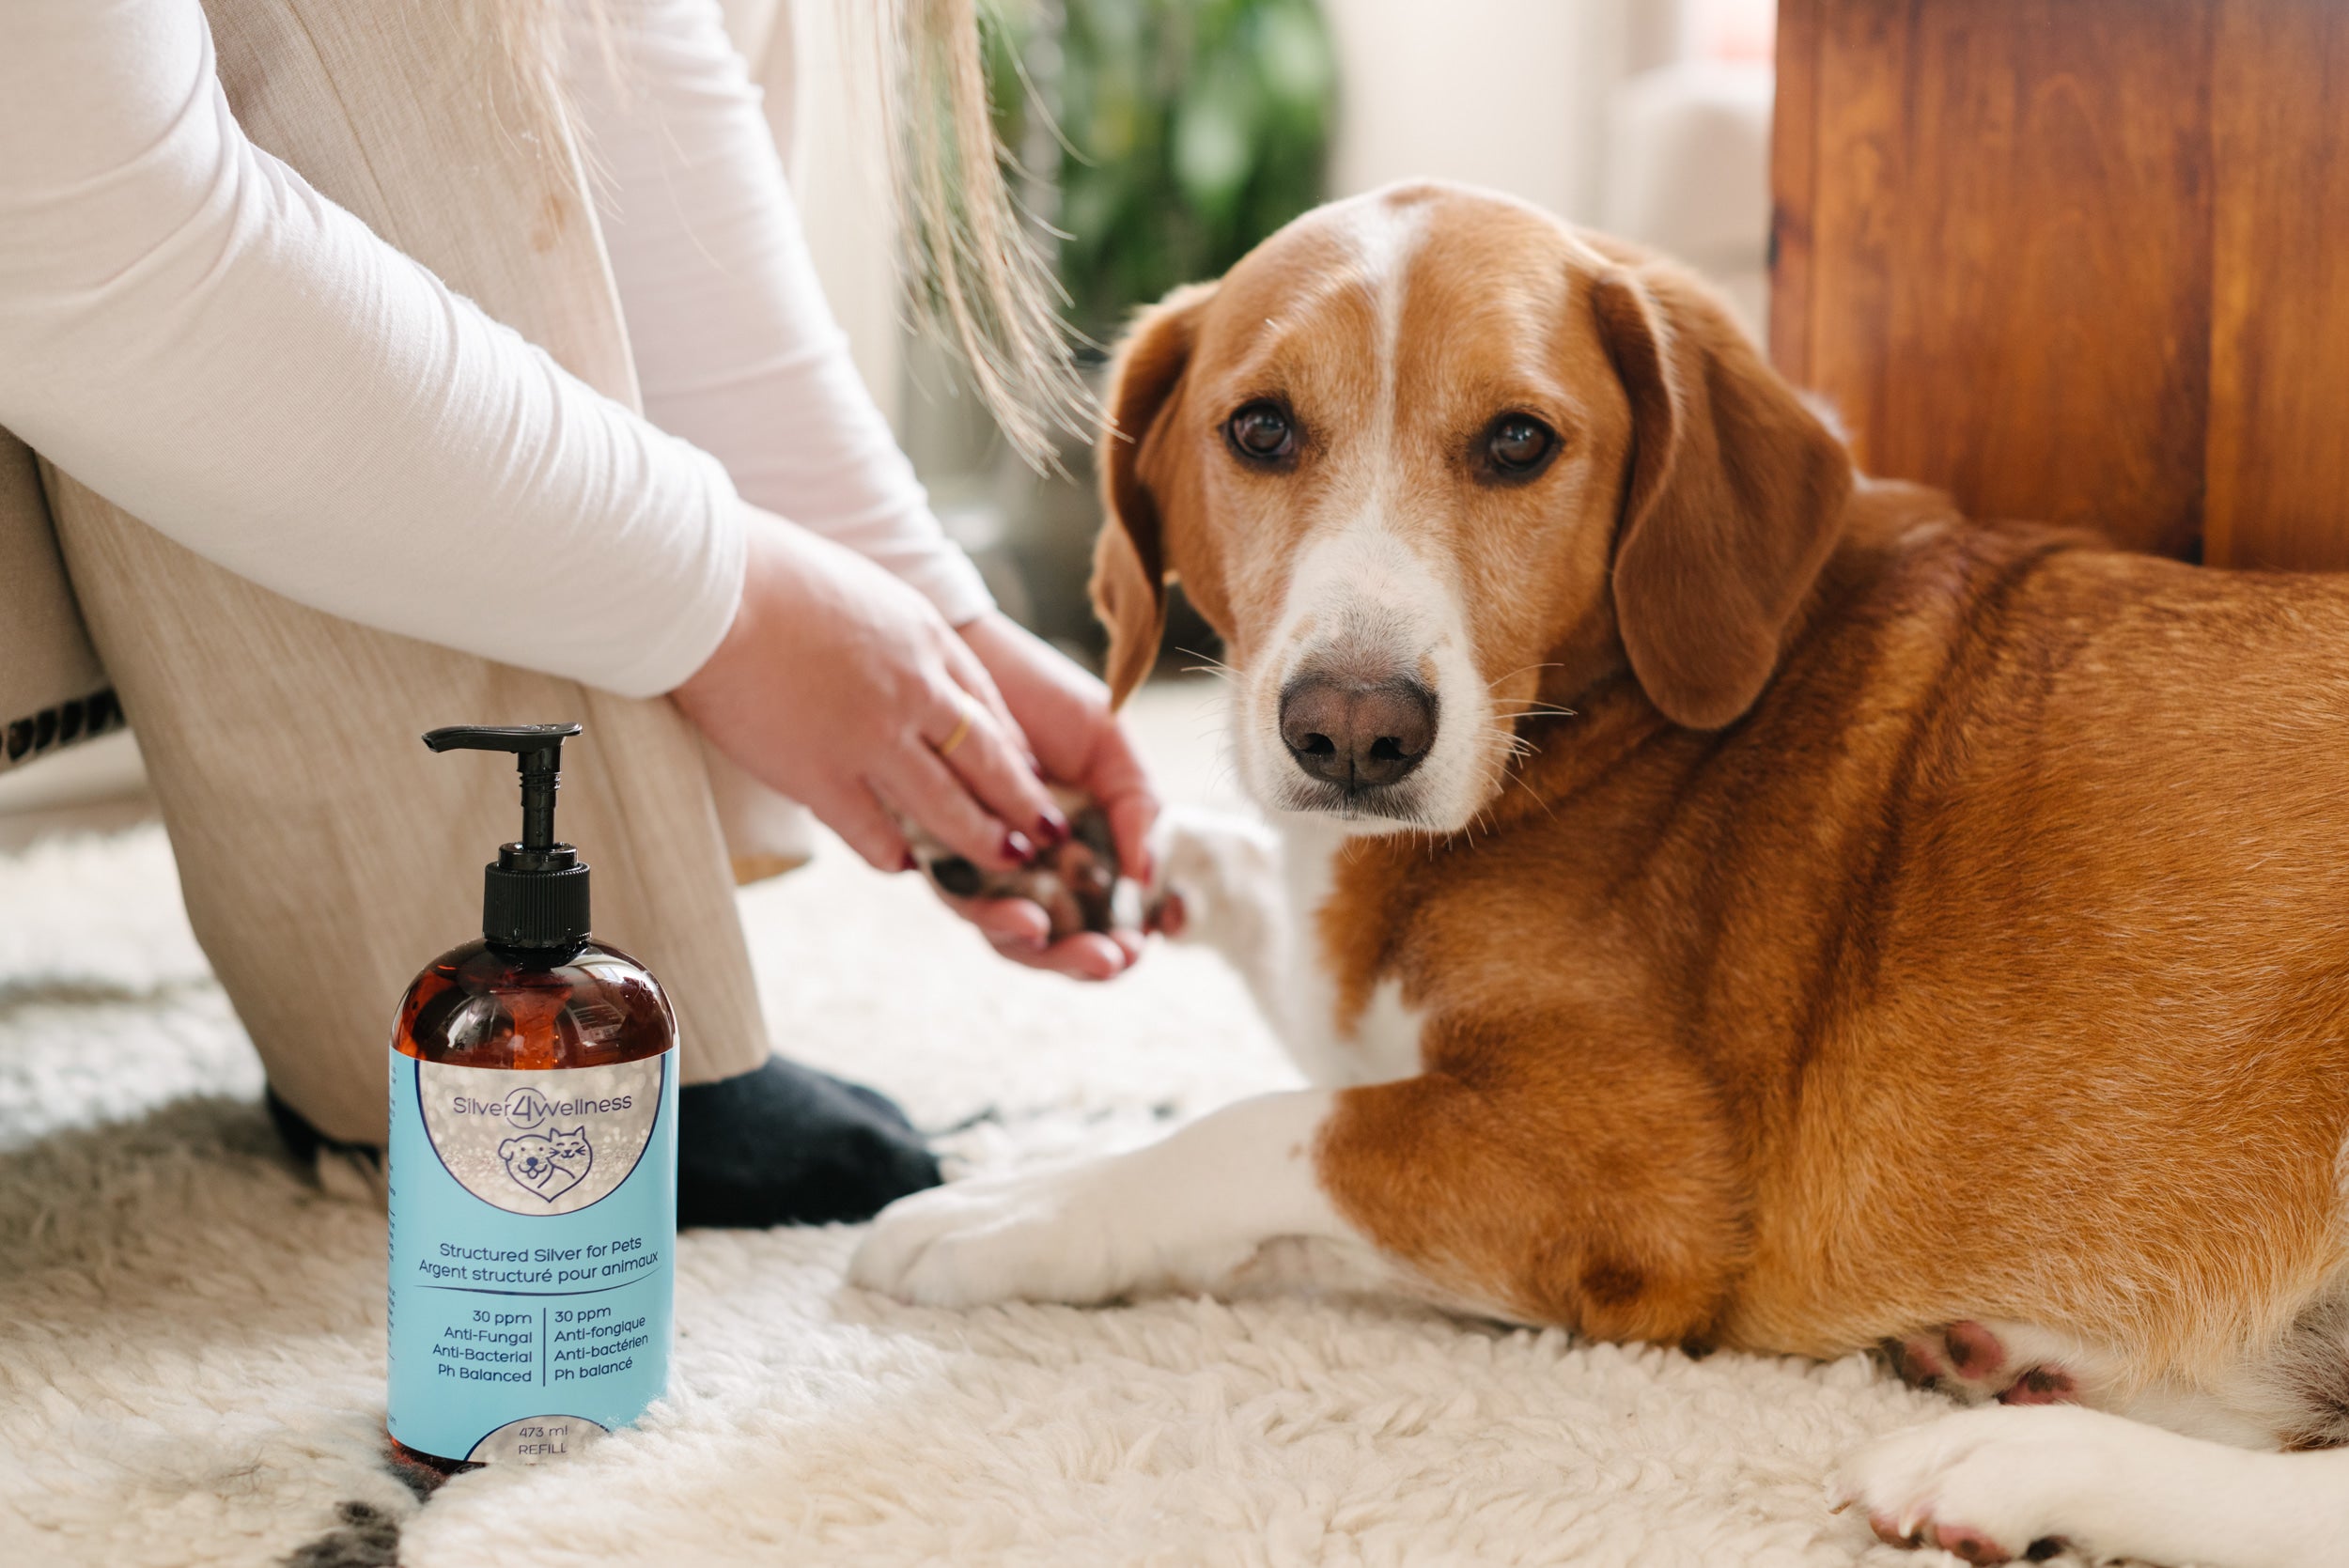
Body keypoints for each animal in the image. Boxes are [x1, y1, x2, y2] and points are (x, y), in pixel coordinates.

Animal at [855, 184, 2349, 1568]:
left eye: (1518, 440)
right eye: (1261, 430)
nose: (1353, 732)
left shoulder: (1633, 1186)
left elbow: (1257, 1127)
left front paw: (1015, 1205)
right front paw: (1109, 845)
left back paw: (2004, 1463)